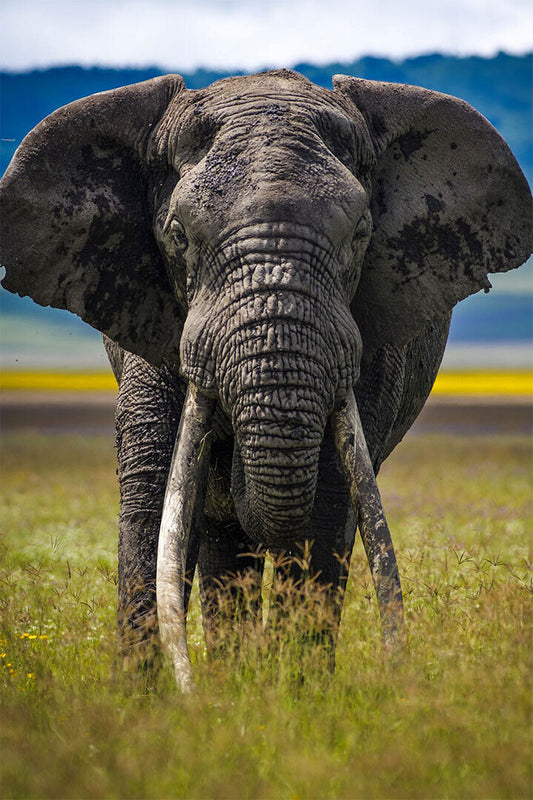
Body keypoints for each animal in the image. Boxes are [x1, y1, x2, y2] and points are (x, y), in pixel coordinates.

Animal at [1, 70, 531, 691]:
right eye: (178, 234)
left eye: (361, 234)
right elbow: (157, 489)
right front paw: (146, 700)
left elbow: (328, 492)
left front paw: (298, 696)